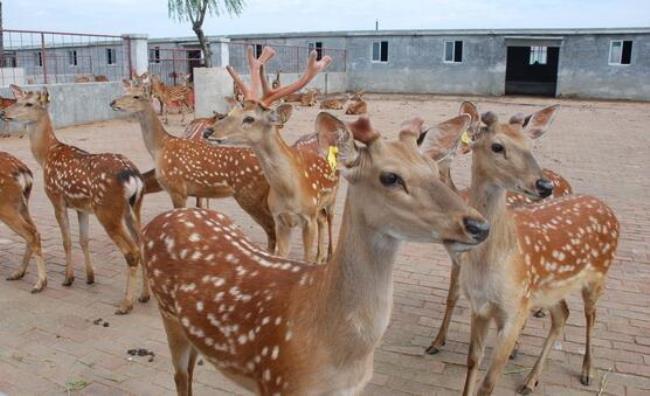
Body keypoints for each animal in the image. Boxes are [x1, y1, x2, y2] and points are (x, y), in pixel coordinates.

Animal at [0, 151, 46, 290]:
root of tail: (25, 174)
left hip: (6, 205)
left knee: (30, 233)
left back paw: (39, 283)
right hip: (22, 205)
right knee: (35, 231)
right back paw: (18, 273)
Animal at [140, 108, 486, 396]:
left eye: (434, 169)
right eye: (390, 176)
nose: (479, 225)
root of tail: (156, 223)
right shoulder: (278, 381)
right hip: (168, 314)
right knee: (180, 377)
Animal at [446, 103, 616, 394]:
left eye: (531, 145)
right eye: (497, 146)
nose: (544, 185)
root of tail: (607, 208)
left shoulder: (516, 309)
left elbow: (488, 383)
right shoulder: (480, 307)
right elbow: (472, 362)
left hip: (598, 274)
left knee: (591, 315)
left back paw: (587, 371)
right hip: (550, 289)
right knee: (562, 314)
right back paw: (530, 379)